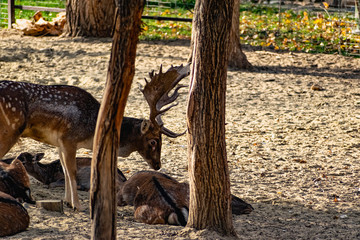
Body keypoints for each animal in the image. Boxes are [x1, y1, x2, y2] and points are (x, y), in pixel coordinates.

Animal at [0, 64, 190, 210]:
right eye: (153, 141)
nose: (158, 165)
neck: (93, 129)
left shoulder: (59, 143)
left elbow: (65, 171)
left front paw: (68, 202)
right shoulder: (69, 139)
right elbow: (72, 172)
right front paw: (78, 206)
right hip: (10, 131)